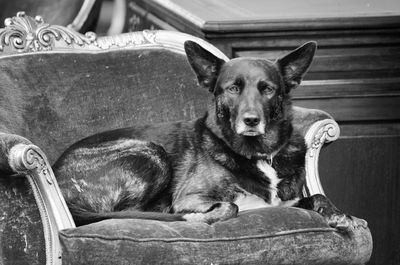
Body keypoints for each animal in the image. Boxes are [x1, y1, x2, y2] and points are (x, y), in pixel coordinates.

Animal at [51, 40, 364, 230]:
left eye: (267, 89)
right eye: (233, 88)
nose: (251, 120)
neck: (259, 153)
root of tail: (56, 171)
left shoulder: (288, 201)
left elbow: (318, 197)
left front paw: (341, 215)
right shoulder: (191, 197)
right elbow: (231, 205)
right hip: (151, 152)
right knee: (132, 212)